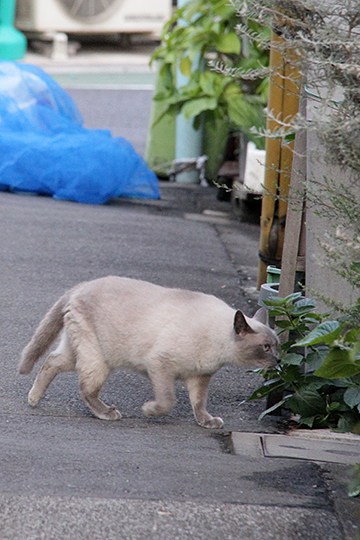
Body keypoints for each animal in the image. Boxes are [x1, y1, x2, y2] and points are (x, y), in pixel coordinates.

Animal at [19, 276, 278, 428]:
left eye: (276, 344)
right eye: (266, 347)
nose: (277, 360)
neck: (219, 348)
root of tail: (81, 285)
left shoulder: (199, 377)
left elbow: (199, 403)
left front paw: (207, 422)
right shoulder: (160, 365)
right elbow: (168, 401)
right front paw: (149, 410)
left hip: (81, 353)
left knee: (52, 361)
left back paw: (33, 399)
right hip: (98, 359)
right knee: (86, 389)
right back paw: (108, 413)